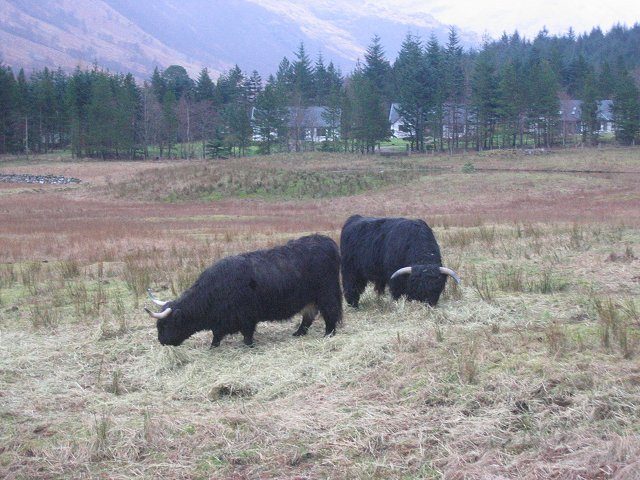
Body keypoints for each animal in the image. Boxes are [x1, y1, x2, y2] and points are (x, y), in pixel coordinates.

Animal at [144, 234, 342, 348]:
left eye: (166, 325)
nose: (162, 341)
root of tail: (326, 241)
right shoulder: (220, 322)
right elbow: (216, 336)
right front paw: (213, 346)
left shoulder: (247, 317)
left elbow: (247, 335)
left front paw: (248, 345)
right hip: (309, 298)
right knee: (309, 315)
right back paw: (299, 332)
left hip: (327, 293)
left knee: (330, 312)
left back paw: (328, 333)